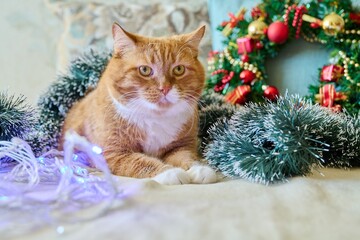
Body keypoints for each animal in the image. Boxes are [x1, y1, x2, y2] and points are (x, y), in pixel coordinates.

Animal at [60, 22, 217, 185]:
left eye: (179, 69)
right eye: (145, 70)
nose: (165, 88)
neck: (155, 118)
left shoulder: (182, 146)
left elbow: (187, 157)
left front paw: (199, 168)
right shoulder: (112, 154)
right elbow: (140, 162)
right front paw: (169, 172)